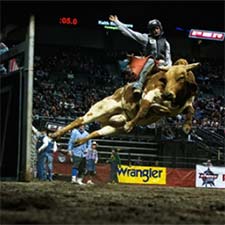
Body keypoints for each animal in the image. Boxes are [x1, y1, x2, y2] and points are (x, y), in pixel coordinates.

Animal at [50, 58, 199, 146]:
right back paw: (55, 134)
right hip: (100, 109)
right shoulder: (148, 95)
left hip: (114, 128)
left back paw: (78, 141)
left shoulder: (185, 104)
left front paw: (186, 127)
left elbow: (191, 110)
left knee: (97, 132)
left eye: (181, 77)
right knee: (79, 120)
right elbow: (143, 109)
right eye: (166, 78)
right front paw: (130, 125)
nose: (168, 94)